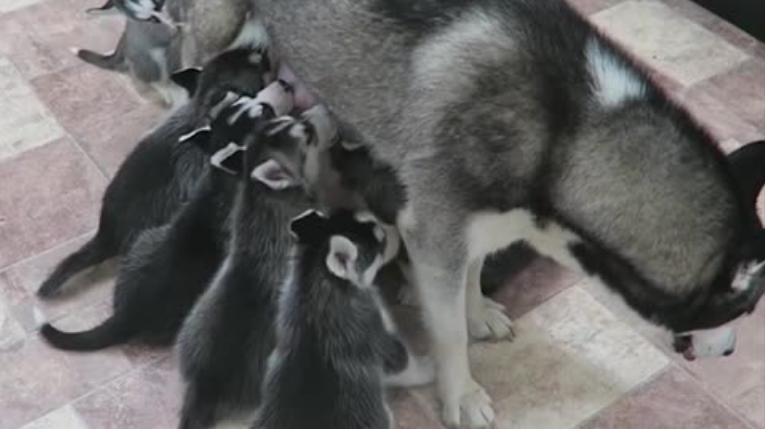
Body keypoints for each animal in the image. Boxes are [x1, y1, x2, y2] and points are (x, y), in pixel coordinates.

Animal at [35, 81, 294, 352]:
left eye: (247, 97)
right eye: (265, 113)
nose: (285, 84)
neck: (222, 173)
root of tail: (126, 316)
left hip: (144, 240)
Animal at [249, 1, 764, 426]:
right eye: (746, 309)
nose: (732, 352)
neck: (564, 134)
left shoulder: (481, 224)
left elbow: (475, 271)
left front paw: (477, 311)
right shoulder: (436, 236)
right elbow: (450, 333)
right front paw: (461, 394)